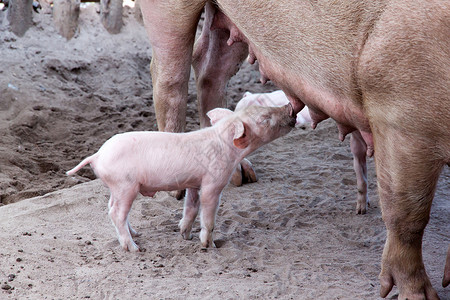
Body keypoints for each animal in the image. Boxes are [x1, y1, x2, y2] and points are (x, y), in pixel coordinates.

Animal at [139, 1, 448, 298]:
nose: (289, 112)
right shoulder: (400, 112)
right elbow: (407, 214)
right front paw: (418, 295)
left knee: (209, 67)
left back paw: (242, 177)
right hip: (167, 12)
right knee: (169, 74)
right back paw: (177, 189)